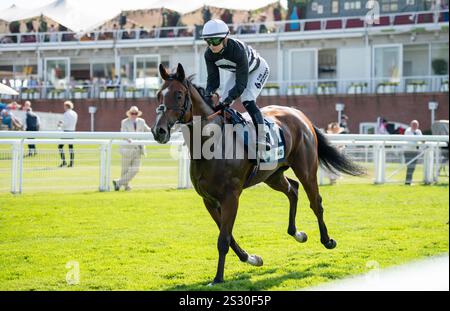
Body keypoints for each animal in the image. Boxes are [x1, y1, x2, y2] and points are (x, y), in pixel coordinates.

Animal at [153, 63, 364, 286]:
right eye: (158, 95)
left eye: (178, 95)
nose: (159, 130)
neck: (212, 144)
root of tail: (299, 114)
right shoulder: (209, 200)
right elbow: (228, 235)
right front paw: (252, 258)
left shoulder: (231, 197)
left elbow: (223, 239)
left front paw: (218, 278)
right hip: (272, 175)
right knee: (293, 189)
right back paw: (297, 233)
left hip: (306, 168)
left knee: (315, 202)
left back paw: (327, 240)